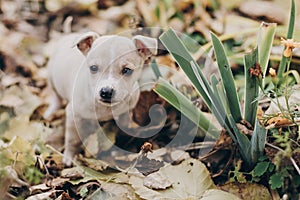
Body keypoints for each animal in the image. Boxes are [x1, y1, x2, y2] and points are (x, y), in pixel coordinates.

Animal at [44, 31, 158, 166]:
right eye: (93, 68)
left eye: (127, 70)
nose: (106, 92)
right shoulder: (73, 116)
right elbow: (73, 139)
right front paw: (70, 156)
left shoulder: (125, 113)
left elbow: (123, 129)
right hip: (51, 76)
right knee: (55, 95)